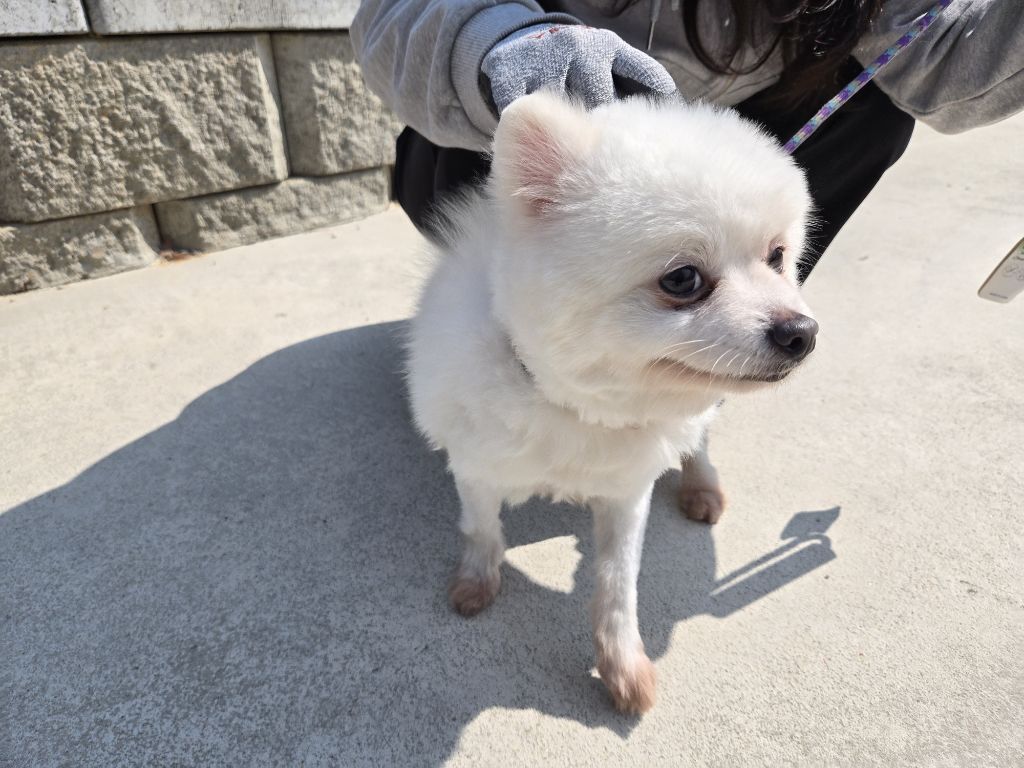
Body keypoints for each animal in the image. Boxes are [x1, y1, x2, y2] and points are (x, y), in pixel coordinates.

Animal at [406, 91, 817, 714]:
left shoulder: (626, 491)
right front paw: (478, 580)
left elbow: (618, 583)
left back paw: (700, 483)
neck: (574, 406)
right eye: (683, 279)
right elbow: (481, 529)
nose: (802, 332)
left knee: (698, 436)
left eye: (777, 257)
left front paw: (621, 663)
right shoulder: (475, 465)